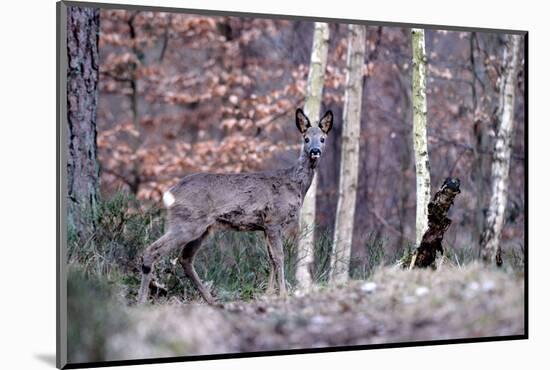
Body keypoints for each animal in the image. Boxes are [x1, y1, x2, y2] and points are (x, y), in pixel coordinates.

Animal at [138, 108, 336, 304]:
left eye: (323, 138)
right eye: (306, 138)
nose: (315, 151)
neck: (295, 185)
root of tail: (169, 193)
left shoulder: (265, 226)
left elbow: (271, 259)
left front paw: (268, 294)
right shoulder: (274, 220)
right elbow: (279, 257)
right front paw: (283, 295)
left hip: (203, 228)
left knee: (185, 258)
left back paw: (211, 300)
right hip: (188, 222)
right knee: (152, 250)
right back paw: (142, 301)